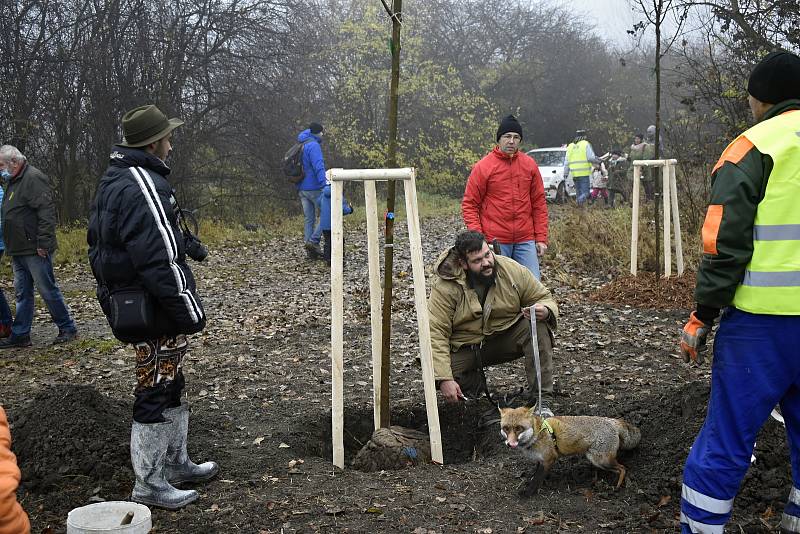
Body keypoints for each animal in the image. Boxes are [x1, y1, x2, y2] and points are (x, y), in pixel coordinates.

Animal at [496, 406, 640, 490]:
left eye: (519, 428)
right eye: (506, 429)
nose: (510, 444)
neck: (537, 435)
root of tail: (612, 421)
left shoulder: (549, 458)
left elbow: (537, 479)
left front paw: (528, 493)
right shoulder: (540, 460)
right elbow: (537, 473)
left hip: (601, 460)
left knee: (623, 468)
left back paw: (618, 485)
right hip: (598, 460)